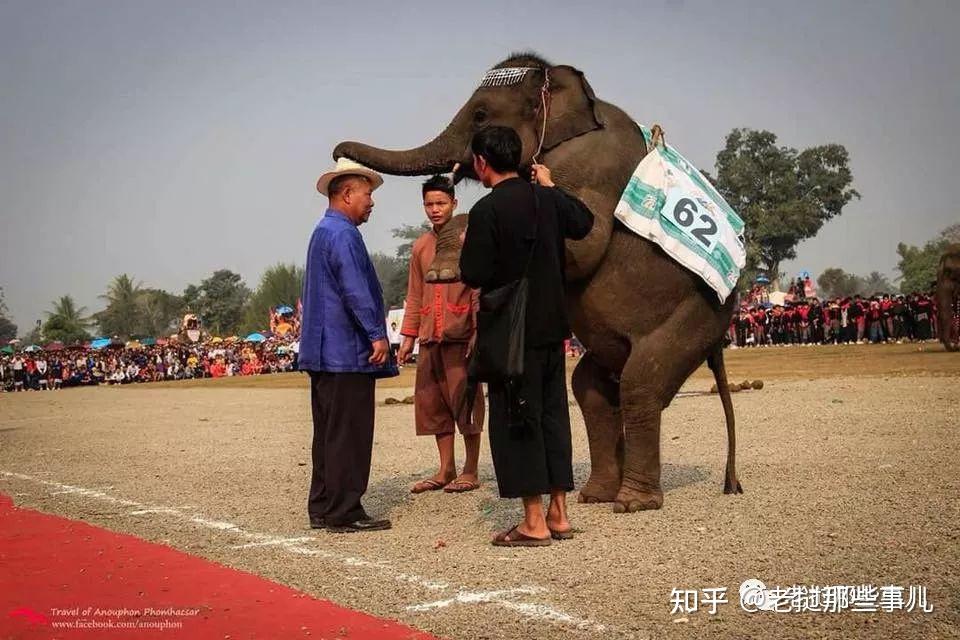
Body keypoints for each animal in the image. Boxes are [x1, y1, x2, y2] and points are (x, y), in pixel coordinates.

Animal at [332, 52, 744, 512]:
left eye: (480, 115)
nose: (337, 152)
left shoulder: (591, 165)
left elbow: (583, 240)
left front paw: (447, 269)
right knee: (590, 388)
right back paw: (596, 495)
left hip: (694, 319)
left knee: (640, 384)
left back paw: (631, 502)